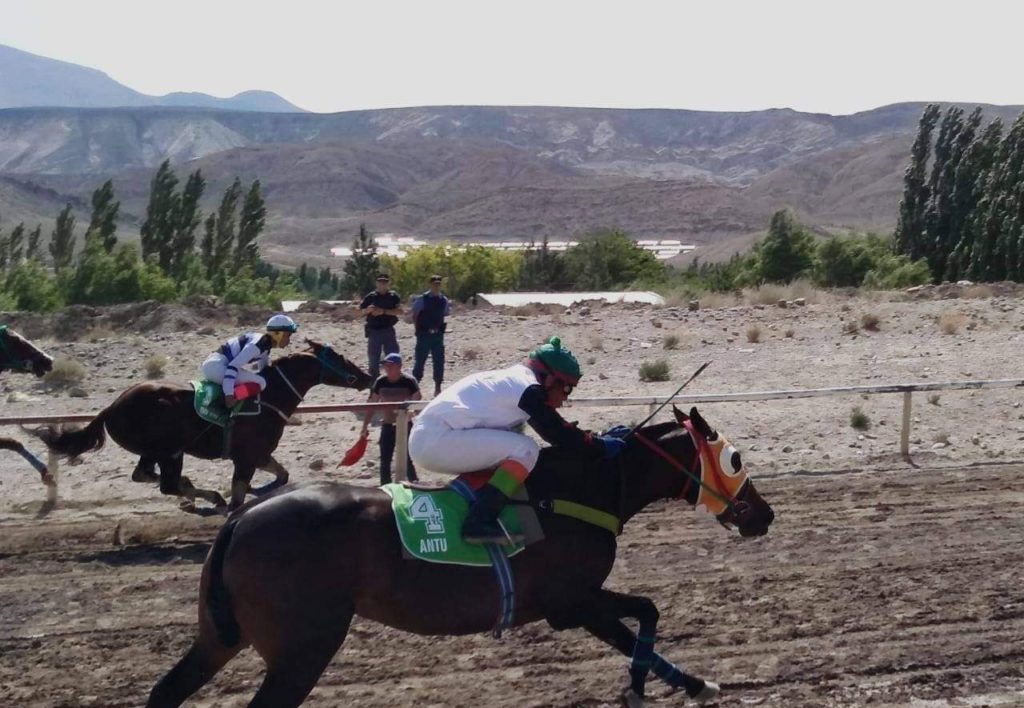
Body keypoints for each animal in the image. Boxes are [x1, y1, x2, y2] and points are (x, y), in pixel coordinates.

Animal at [32, 342, 376, 512]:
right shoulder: (246, 458)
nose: (367, 377)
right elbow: (239, 495)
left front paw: (261, 491)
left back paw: (194, 494)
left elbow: (282, 475)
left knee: (147, 476)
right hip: (168, 450)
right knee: (165, 483)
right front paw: (239, 500)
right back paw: (203, 496)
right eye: (340, 357)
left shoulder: (259, 454)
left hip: (158, 451)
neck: (267, 397)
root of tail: (112, 407)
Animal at [149, 407, 774, 704]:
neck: (577, 491)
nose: (763, 515)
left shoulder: (574, 604)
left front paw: (669, 685)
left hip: (221, 635)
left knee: (165, 691)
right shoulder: (571, 603)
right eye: (736, 458)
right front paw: (667, 685)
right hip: (304, 646)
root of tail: (242, 519)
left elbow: (645, 616)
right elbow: (645, 613)